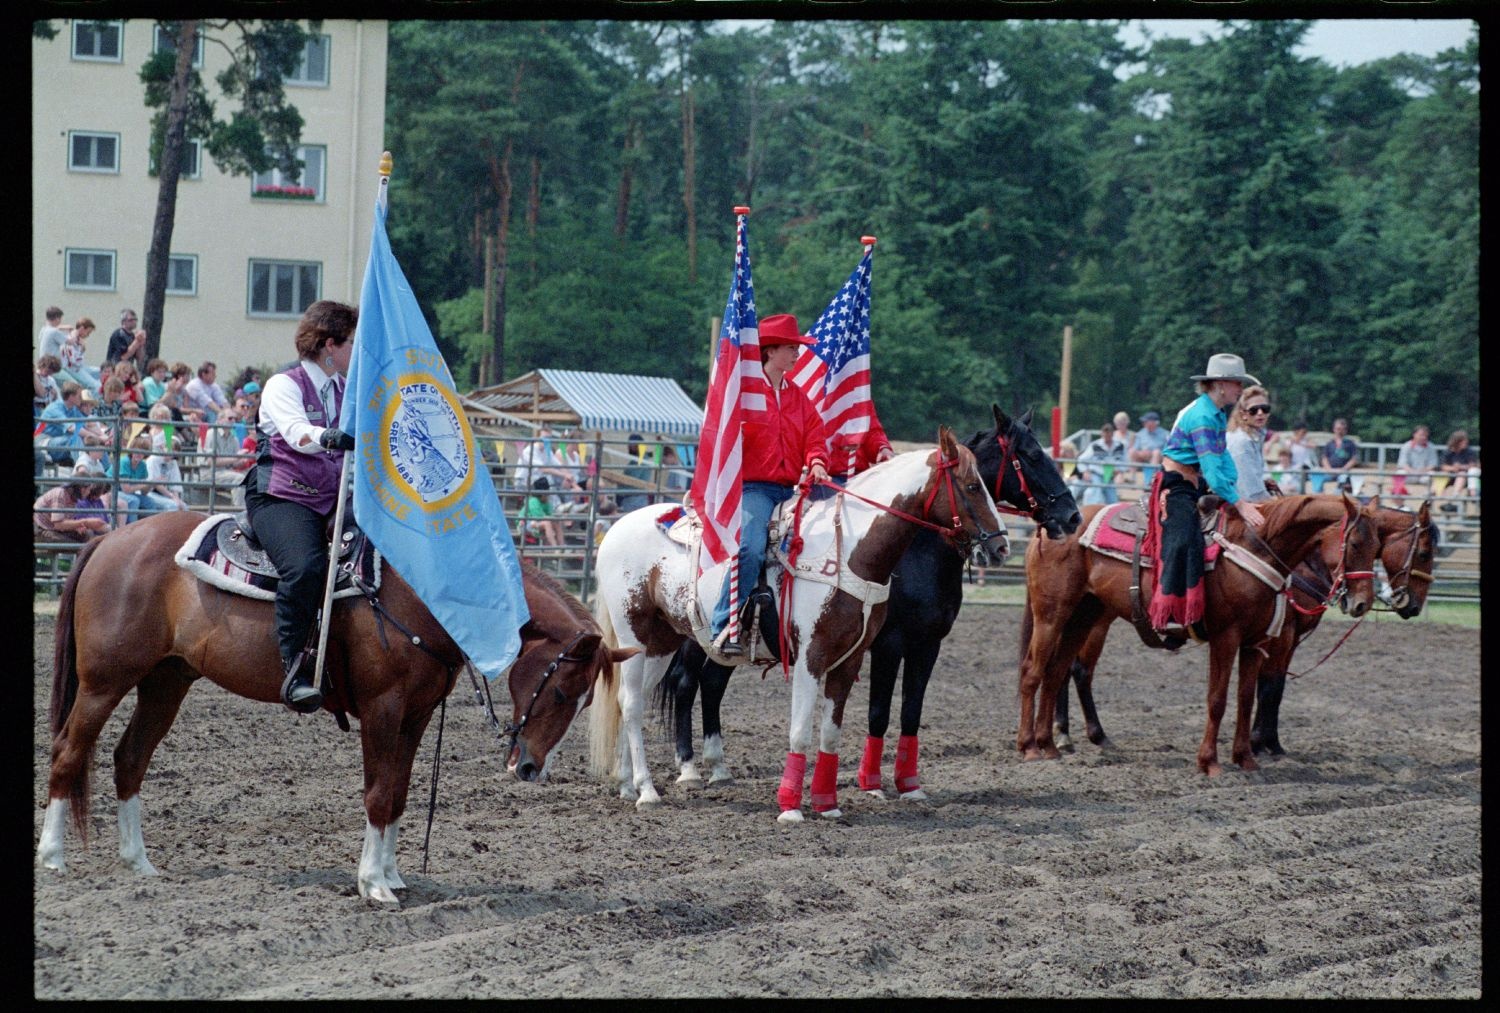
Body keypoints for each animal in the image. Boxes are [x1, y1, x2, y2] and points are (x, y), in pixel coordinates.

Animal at [35, 516, 633, 906]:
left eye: (584, 699)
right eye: (563, 692)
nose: (530, 768)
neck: (424, 594)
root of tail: (110, 540)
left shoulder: (416, 714)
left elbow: (398, 793)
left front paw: (392, 875)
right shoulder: (383, 708)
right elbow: (377, 792)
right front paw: (372, 885)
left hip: (166, 681)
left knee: (129, 758)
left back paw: (139, 863)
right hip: (104, 682)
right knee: (68, 752)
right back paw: (54, 856)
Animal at [585, 429, 1008, 822]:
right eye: (973, 486)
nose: (1000, 546)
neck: (848, 550)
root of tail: (618, 528)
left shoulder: (850, 660)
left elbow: (831, 733)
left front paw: (826, 804)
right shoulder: (812, 655)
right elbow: (801, 730)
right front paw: (790, 806)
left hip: (662, 641)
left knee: (629, 700)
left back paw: (626, 783)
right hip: (634, 632)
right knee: (634, 703)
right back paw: (646, 789)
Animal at [657, 408, 1080, 798]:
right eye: (1031, 455)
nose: (1072, 516)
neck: (913, 553)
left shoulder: (928, 644)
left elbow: (911, 711)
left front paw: (909, 784)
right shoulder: (888, 644)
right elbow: (879, 711)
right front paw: (871, 782)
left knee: (712, 684)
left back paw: (719, 767)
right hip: (698, 639)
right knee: (685, 683)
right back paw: (689, 767)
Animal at [1014, 492, 1374, 774]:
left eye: (1376, 544)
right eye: (1355, 543)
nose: (1362, 603)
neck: (1253, 549)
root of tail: (1045, 531)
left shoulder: (1255, 643)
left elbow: (1246, 698)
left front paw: (1246, 759)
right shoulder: (1227, 638)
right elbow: (1218, 699)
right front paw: (1209, 762)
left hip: (1084, 617)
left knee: (1056, 672)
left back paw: (1050, 745)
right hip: (1052, 615)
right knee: (1034, 671)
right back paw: (1029, 746)